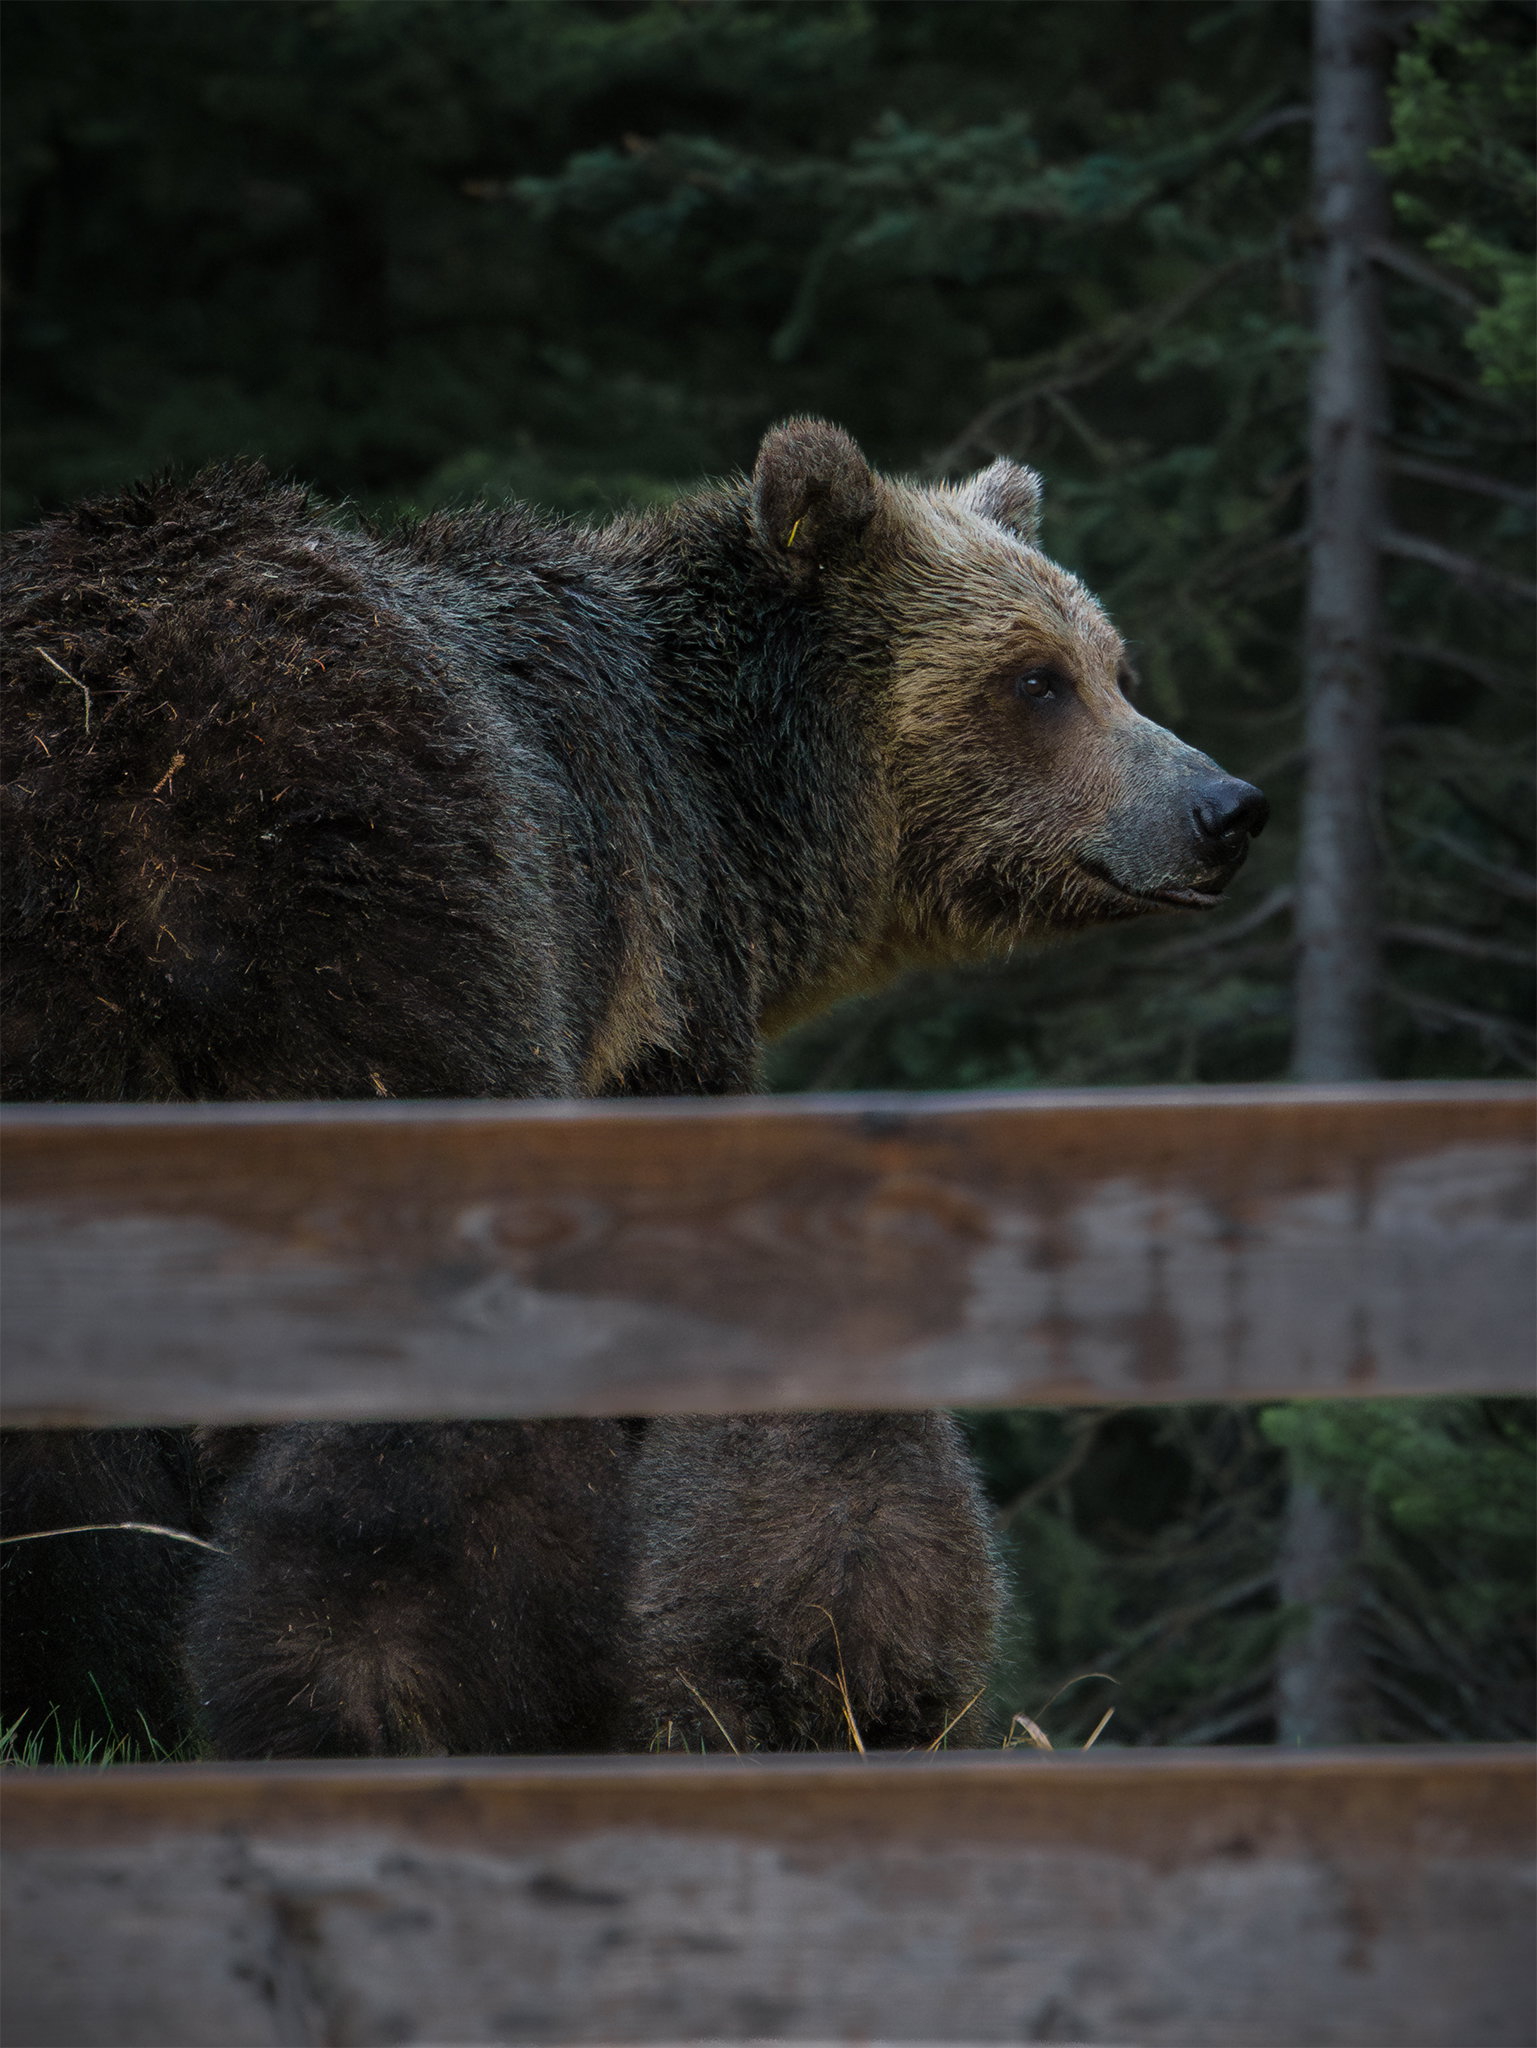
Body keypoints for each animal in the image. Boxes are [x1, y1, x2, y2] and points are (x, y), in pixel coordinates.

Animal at [0, 420, 1266, 1756]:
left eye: (1113, 664)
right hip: (398, 916)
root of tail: (128, 759)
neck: (729, 804)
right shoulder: (653, 988)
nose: (1224, 807)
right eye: (1034, 679)